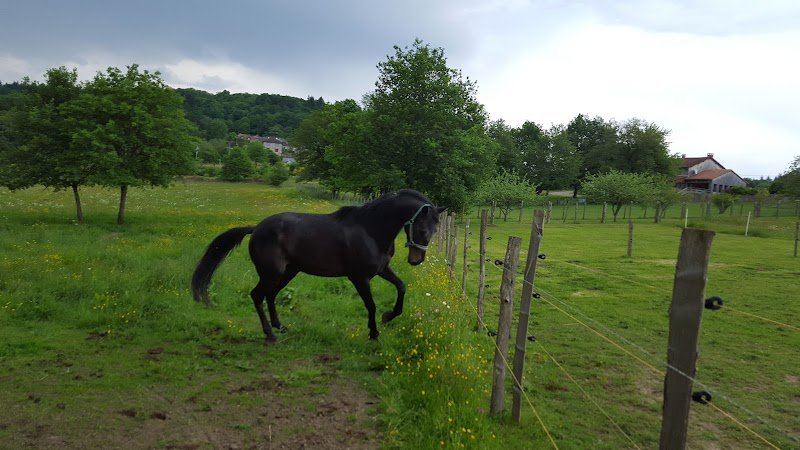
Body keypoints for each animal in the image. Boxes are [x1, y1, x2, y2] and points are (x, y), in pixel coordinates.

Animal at [191, 189, 446, 343]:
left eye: (435, 230)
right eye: (422, 229)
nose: (416, 260)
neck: (370, 230)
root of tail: (257, 228)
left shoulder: (381, 270)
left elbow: (401, 287)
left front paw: (388, 316)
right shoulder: (359, 277)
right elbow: (371, 305)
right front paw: (374, 332)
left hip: (289, 272)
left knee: (270, 295)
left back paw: (279, 326)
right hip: (271, 273)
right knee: (257, 295)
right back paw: (270, 334)